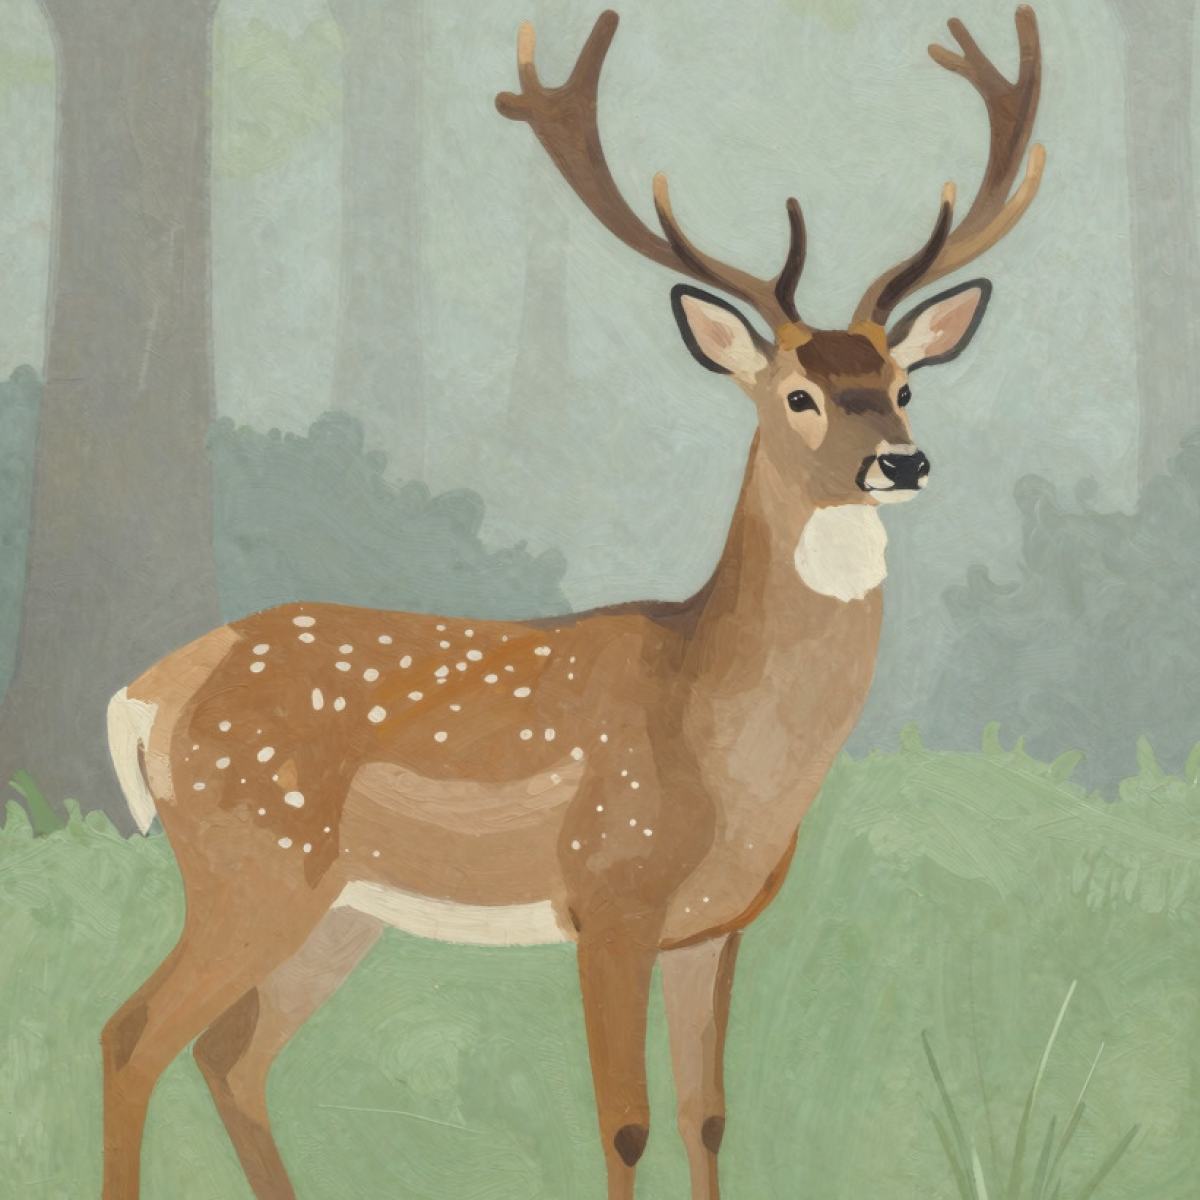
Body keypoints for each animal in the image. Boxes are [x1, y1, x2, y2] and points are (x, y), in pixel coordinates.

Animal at [99, 8, 1043, 1199]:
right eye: (798, 394)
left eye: (904, 384)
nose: (904, 464)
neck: (722, 740)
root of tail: (143, 695)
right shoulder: (611, 890)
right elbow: (624, 1120)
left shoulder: (715, 924)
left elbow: (706, 1114)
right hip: (249, 861)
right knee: (133, 1034)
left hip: (336, 908)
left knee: (232, 1054)